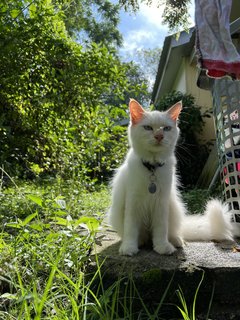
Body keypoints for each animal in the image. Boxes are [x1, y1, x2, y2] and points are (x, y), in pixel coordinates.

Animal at [108, 99, 232, 256]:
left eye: (166, 128)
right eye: (148, 128)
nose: (159, 136)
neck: (152, 168)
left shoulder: (161, 203)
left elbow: (161, 230)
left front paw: (162, 247)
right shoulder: (133, 202)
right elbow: (131, 228)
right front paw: (129, 247)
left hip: (174, 208)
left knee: (172, 232)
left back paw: (176, 241)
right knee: (141, 235)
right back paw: (141, 241)